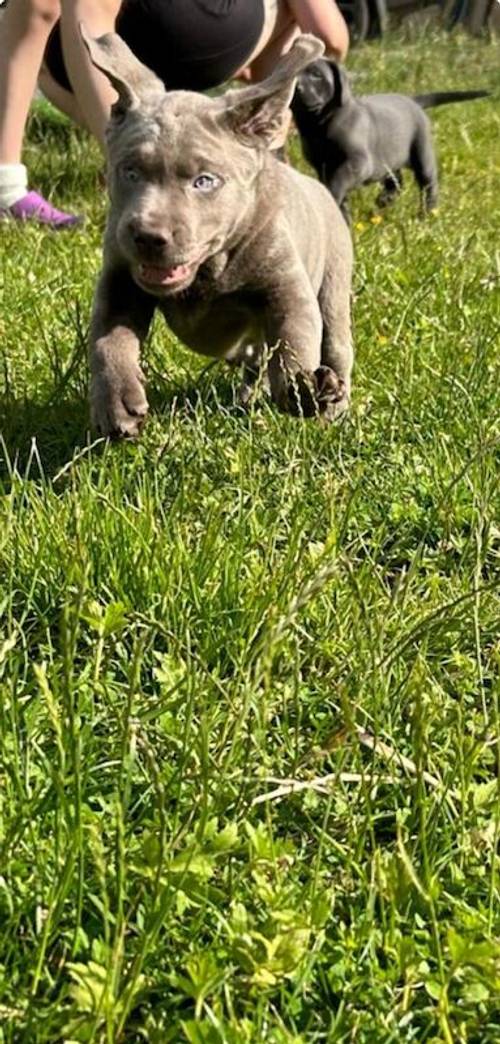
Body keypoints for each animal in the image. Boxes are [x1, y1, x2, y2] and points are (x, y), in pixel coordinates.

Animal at [84, 28, 354, 436]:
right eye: (130, 172)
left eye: (205, 181)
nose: (147, 236)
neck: (209, 270)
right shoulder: (120, 283)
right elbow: (108, 340)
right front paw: (115, 402)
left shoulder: (285, 285)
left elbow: (294, 338)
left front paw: (305, 390)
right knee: (254, 360)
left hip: (335, 282)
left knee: (335, 344)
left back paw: (333, 408)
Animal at [294, 59, 488, 216]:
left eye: (316, 75)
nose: (296, 88)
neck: (319, 124)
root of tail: (413, 101)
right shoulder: (322, 166)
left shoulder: (358, 162)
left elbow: (337, 182)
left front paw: (331, 196)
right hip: (389, 157)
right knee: (396, 182)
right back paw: (385, 199)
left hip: (421, 152)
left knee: (428, 184)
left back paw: (427, 214)